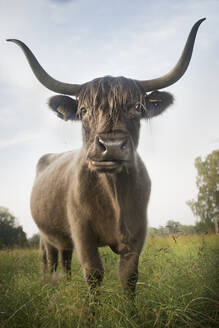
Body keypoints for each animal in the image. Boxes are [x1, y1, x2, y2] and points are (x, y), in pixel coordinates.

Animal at [7, 18, 205, 298]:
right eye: (83, 110)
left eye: (138, 107)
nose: (111, 146)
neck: (113, 194)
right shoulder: (81, 231)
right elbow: (93, 273)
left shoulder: (137, 233)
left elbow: (129, 276)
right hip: (46, 234)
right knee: (50, 258)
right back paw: (49, 284)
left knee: (65, 258)